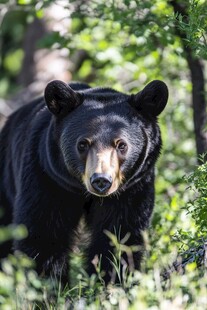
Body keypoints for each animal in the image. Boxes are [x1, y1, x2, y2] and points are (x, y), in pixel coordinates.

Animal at [0, 79, 168, 284]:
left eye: (121, 145)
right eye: (82, 144)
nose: (101, 180)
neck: (82, 191)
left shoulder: (133, 187)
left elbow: (120, 233)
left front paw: (111, 280)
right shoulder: (46, 177)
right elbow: (43, 232)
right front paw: (48, 285)